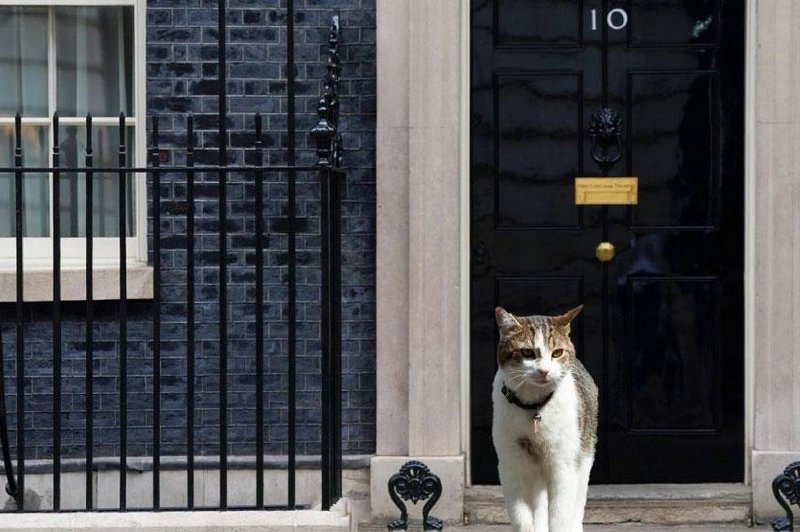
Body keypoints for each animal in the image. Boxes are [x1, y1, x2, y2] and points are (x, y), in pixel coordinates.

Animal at [490, 306, 596, 528]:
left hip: (584, 456)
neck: (533, 407)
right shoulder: (511, 463)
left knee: (576, 503)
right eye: (527, 352)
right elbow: (522, 518)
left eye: (557, 353)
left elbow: (560, 517)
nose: (544, 371)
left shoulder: (564, 465)